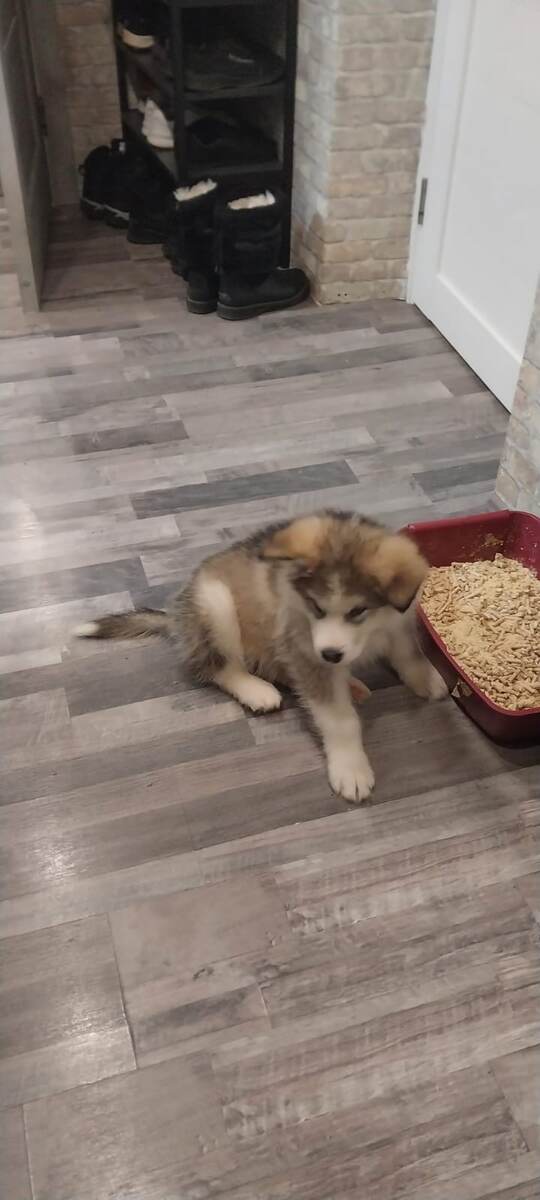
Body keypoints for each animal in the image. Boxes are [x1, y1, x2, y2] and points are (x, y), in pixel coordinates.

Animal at [76, 511, 447, 802]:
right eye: (316, 607)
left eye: (358, 611)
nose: (330, 654)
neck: (371, 631)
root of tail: (177, 617)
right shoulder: (304, 651)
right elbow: (338, 718)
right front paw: (350, 768)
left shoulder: (398, 623)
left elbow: (410, 654)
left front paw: (429, 679)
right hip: (216, 604)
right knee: (218, 667)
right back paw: (256, 691)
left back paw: (351, 684)